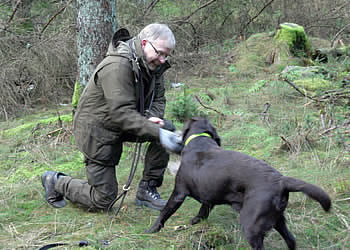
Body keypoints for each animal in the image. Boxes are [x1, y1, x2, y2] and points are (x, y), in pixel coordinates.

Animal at [146, 117, 332, 250]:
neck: (199, 141)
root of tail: (281, 181)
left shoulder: (179, 192)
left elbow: (164, 212)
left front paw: (152, 230)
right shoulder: (208, 197)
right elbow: (203, 211)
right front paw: (194, 221)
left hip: (251, 225)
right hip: (278, 220)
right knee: (291, 240)